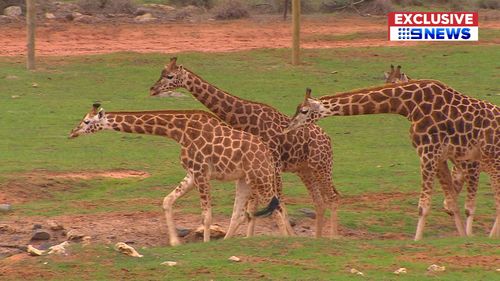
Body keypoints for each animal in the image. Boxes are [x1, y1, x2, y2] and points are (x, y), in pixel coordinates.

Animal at [68, 103, 292, 245]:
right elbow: (167, 201)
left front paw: (205, 244)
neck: (179, 131)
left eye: (86, 121)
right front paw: (175, 241)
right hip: (246, 179)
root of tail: (268, 154)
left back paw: (285, 240)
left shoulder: (201, 171)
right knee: (241, 213)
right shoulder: (192, 174)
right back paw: (229, 241)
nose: (72, 132)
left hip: (260, 176)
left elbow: (206, 216)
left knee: (277, 209)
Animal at [148, 58, 342, 237]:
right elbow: (253, 207)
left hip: (321, 166)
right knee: (319, 201)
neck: (245, 119)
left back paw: (332, 237)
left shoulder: (273, 165)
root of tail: (328, 138)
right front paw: (250, 237)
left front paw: (287, 236)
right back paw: (317, 238)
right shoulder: (255, 167)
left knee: (333, 198)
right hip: (305, 170)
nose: (152, 89)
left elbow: (274, 203)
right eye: (161, 72)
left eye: (170, 76)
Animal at [288, 81, 498, 241]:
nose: (289, 126)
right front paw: (464, 237)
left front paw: (417, 240)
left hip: (491, 157)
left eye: (304, 111)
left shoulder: (428, 152)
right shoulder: (439, 157)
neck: (409, 106)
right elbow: (452, 202)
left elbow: (423, 206)